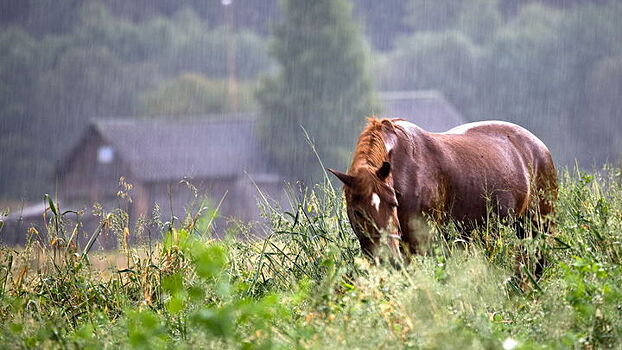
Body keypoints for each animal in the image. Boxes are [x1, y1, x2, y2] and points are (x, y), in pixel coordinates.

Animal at [330, 119, 560, 258]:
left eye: (393, 203)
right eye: (358, 212)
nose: (387, 256)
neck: (405, 168)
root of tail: (540, 147)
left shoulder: (420, 244)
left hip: (539, 228)